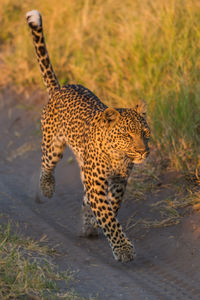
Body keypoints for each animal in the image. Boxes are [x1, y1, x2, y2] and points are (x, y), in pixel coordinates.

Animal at [25, 9, 150, 262]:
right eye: (128, 135)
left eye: (144, 133)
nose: (143, 151)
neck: (118, 156)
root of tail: (61, 88)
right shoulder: (97, 183)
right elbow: (109, 217)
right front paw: (122, 249)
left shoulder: (119, 182)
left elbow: (111, 207)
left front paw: (91, 223)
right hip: (53, 145)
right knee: (46, 164)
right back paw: (46, 187)